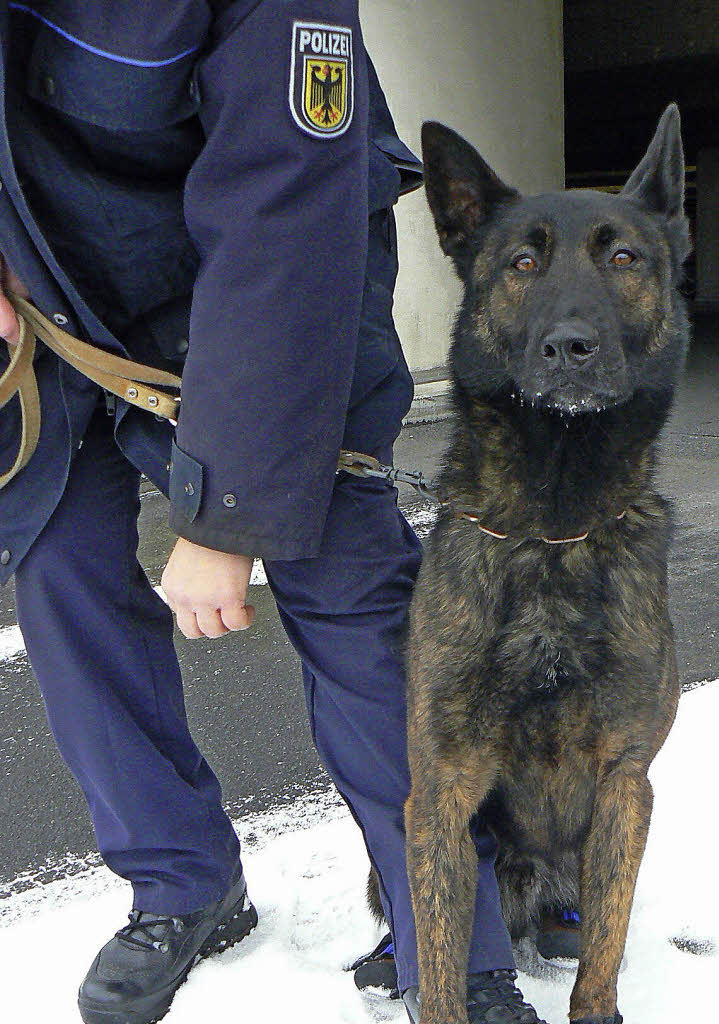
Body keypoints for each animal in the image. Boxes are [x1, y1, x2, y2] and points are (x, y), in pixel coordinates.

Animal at [403, 105, 688, 1024]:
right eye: (521, 263)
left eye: (623, 258)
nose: (571, 347)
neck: (552, 532)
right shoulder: (442, 788)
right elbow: (443, 955)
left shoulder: (626, 782)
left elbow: (605, 941)